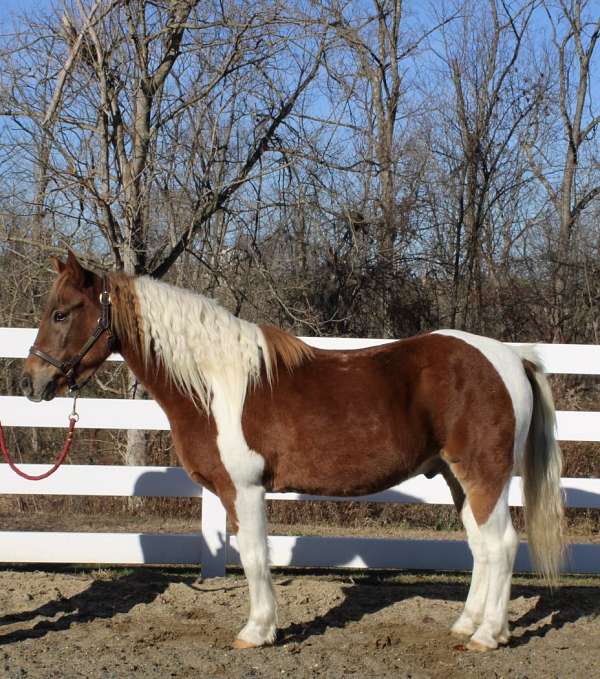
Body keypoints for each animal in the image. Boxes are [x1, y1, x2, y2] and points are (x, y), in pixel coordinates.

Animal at [21, 250, 564, 651]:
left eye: (61, 312)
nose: (31, 381)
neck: (214, 384)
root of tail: (509, 357)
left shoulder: (244, 489)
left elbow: (255, 556)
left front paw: (257, 632)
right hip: (457, 478)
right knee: (480, 547)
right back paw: (466, 625)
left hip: (484, 474)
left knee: (502, 545)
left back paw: (489, 636)